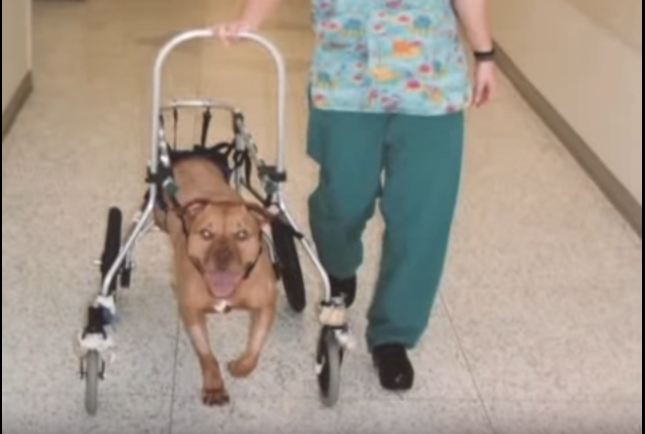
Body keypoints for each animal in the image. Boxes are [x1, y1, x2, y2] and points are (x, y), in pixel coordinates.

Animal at [157, 157, 280, 406]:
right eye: (206, 234)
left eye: (242, 235)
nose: (223, 256)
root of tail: (191, 157)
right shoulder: (192, 313)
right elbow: (206, 354)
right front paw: (214, 385)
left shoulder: (266, 306)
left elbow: (255, 348)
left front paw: (241, 367)